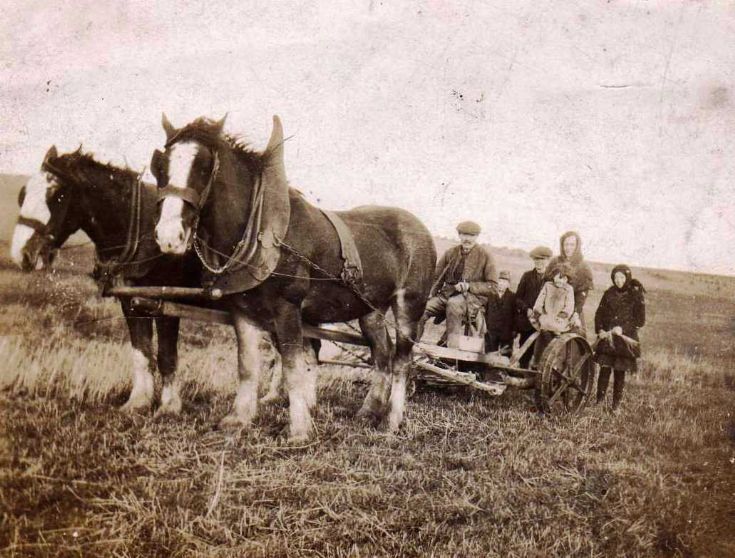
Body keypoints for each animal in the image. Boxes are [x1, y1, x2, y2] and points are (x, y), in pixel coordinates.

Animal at [151, 115, 436, 442]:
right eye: (161, 166)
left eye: (202, 166)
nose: (168, 236)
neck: (260, 230)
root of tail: (420, 227)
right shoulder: (241, 311)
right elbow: (247, 365)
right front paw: (239, 418)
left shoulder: (287, 308)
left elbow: (292, 365)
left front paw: (299, 427)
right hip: (370, 309)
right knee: (382, 353)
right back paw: (368, 411)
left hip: (409, 304)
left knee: (402, 359)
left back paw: (391, 420)